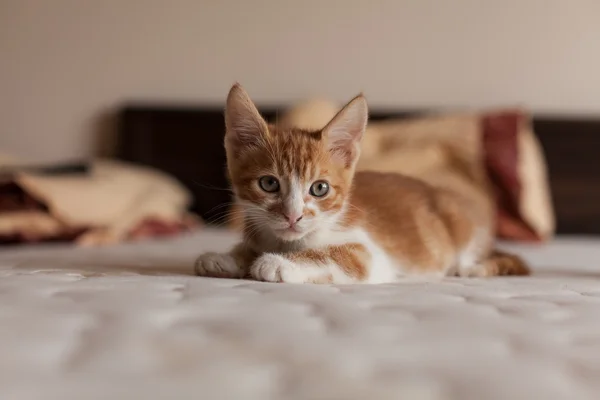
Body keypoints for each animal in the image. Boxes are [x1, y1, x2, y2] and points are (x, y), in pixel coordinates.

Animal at [195, 83, 528, 284]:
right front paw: (227, 257)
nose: (293, 216)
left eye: (319, 188)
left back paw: (472, 267)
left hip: (461, 223)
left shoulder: (369, 253)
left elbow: (338, 254)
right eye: (268, 183)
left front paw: (278, 263)